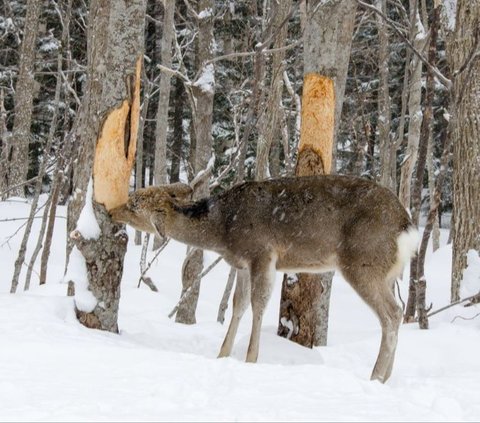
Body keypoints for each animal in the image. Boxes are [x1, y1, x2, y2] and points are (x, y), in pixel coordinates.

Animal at [110, 176, 418, 384]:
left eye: (134, 204)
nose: (111, 210)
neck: (222, 232)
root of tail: (408, 228)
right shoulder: (242, 264)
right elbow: (238, 305)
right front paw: (222, 354)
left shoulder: (262, 254)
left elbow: (258, 305)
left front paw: (251, 358)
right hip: (388, 273)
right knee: (397, 312)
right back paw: (387, 376)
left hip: (363, 264)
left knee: (392, 313)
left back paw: (376, 376)